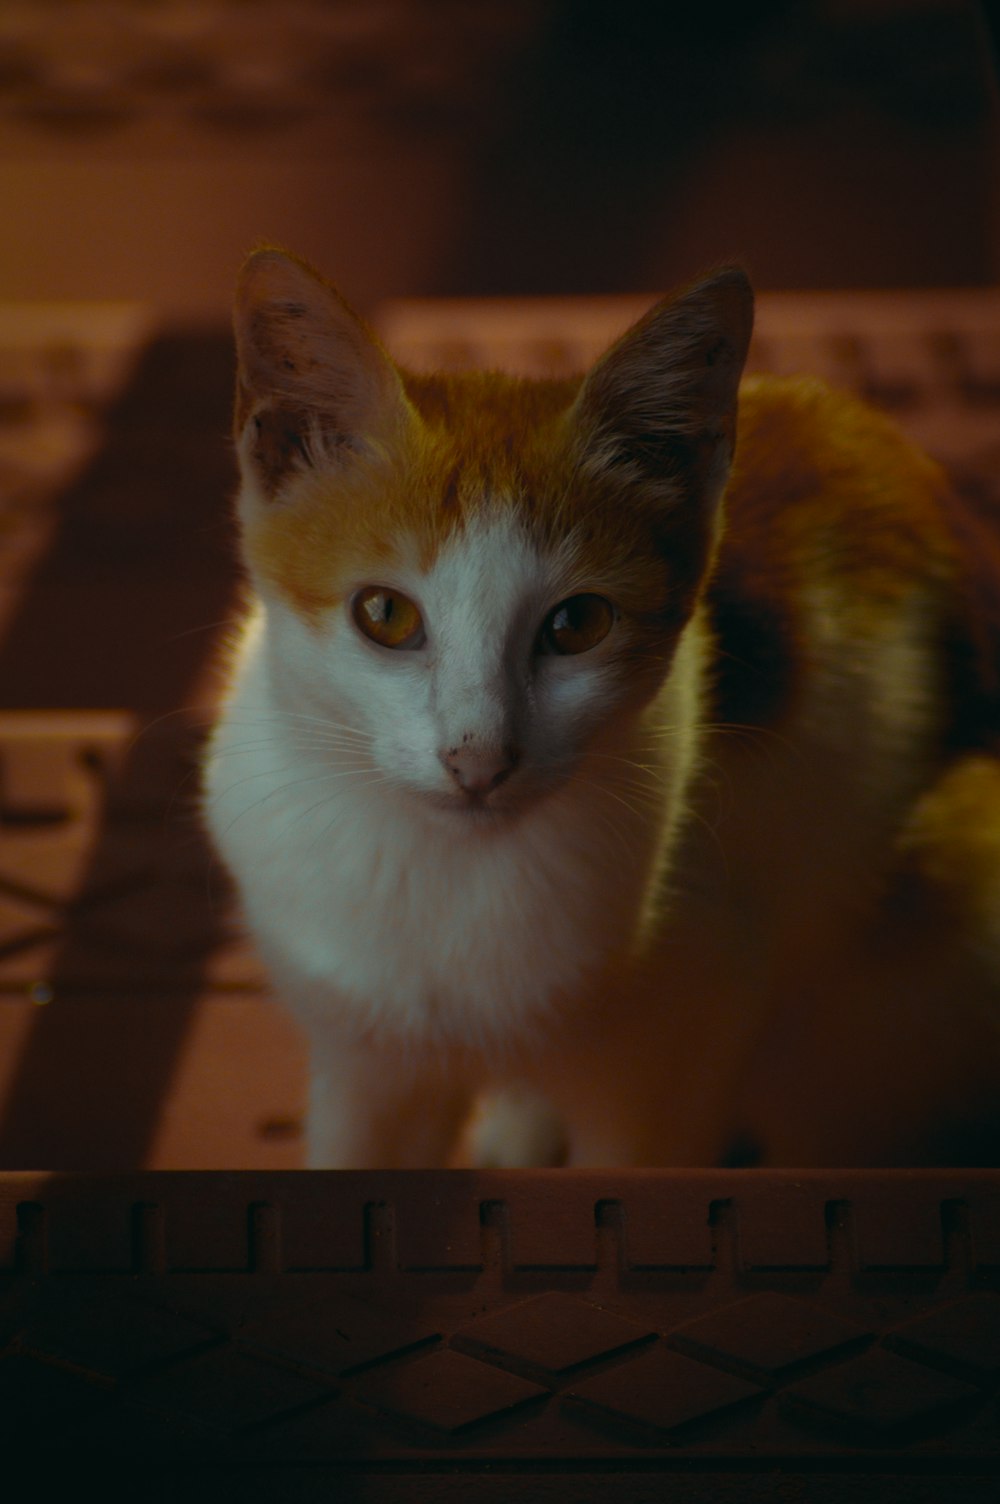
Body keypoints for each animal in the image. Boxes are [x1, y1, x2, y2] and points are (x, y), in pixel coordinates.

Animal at [203, 246, 998, 1167]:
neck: (448, 877)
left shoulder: (688, 1033)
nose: (478, 760)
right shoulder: (365, 1061)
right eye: (386, 614)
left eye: (577, 625)